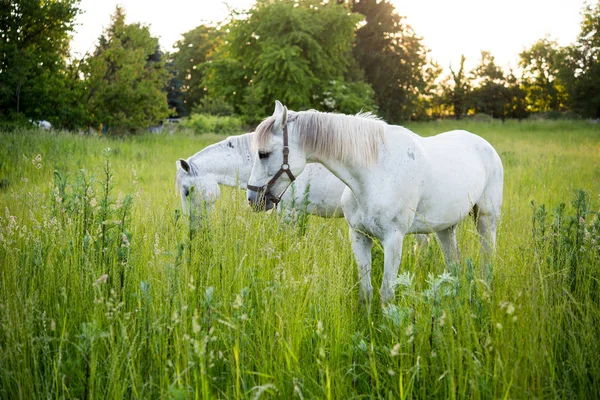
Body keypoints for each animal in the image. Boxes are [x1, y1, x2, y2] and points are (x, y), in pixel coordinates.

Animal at [246, 101, 504, 304]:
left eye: (263, 153)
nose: (253, 199)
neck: (375, 173)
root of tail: (487, 146)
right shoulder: (359, 236)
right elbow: (366, 291)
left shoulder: (393, 240)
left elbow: (386, 294)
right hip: (445, 228)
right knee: (453, 265)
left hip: (486, 220)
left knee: (488, 259)